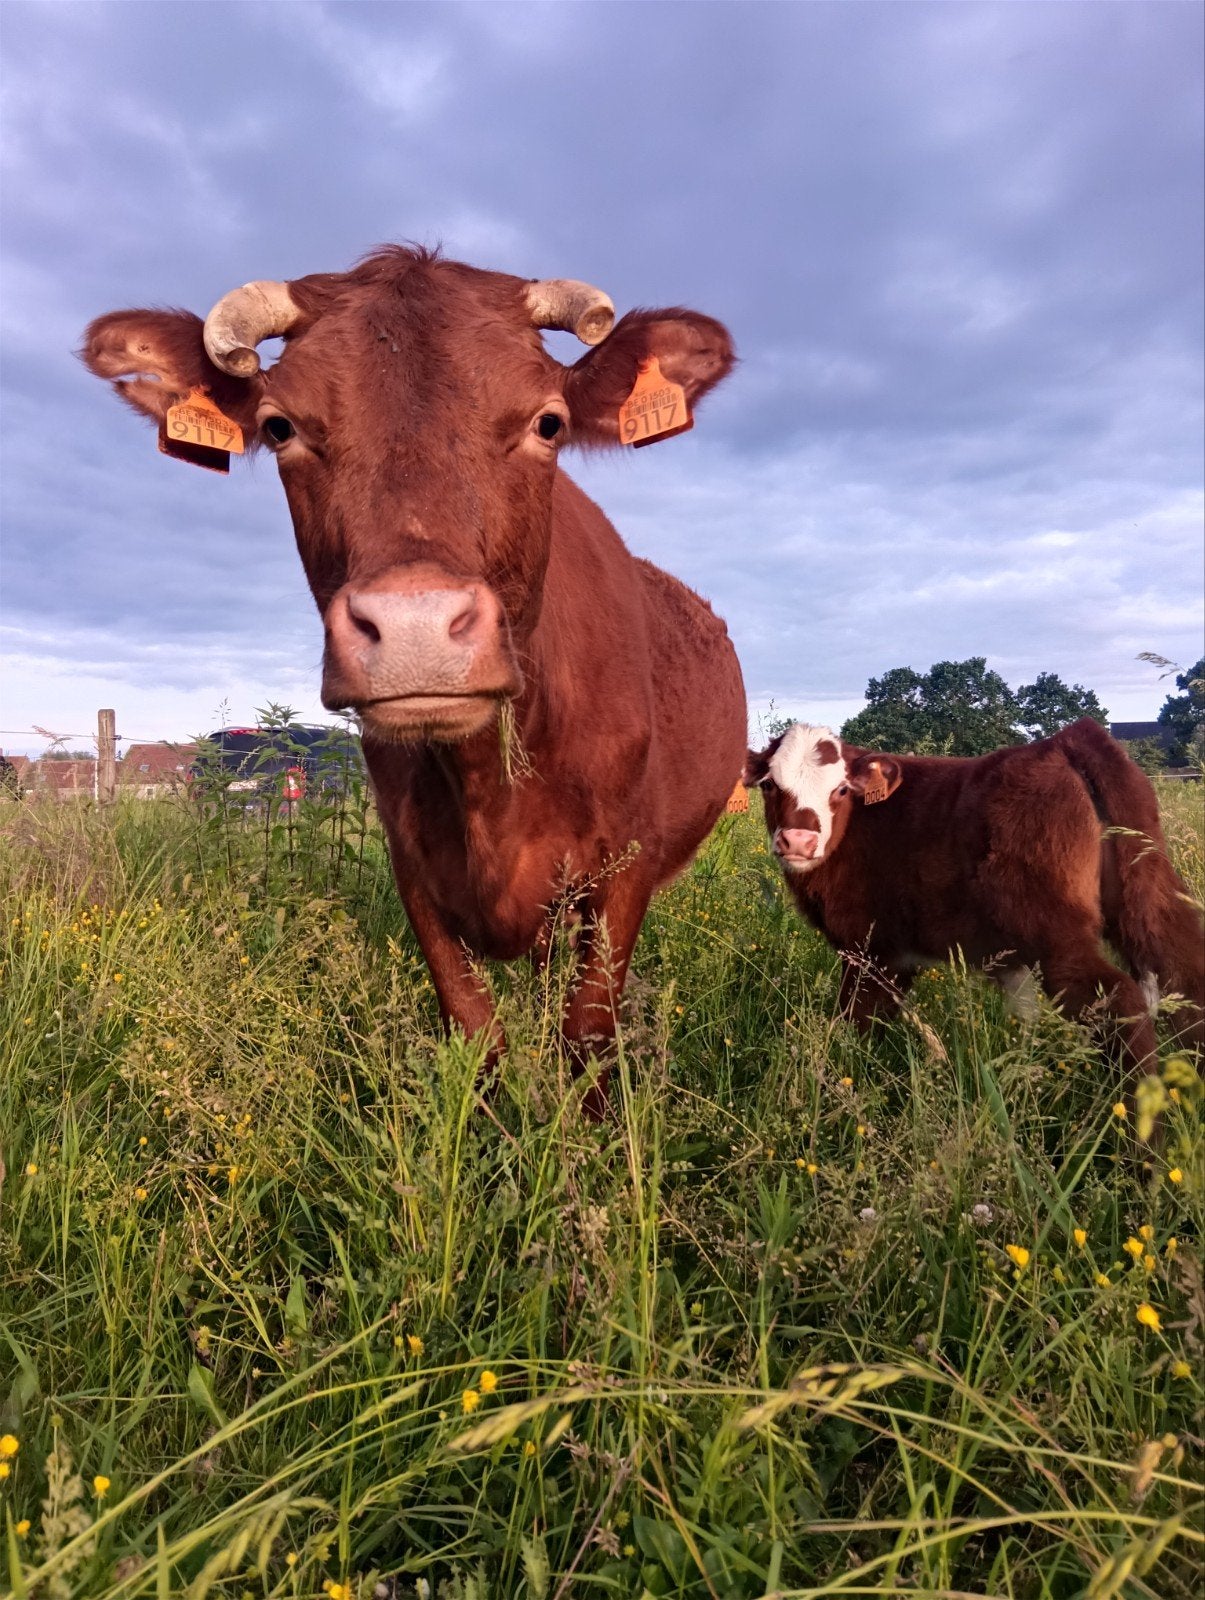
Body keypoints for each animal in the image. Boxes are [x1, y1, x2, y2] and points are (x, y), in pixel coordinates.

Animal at [82, 248, 746, 1114]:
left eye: (548, 422)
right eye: (280, 427)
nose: (415, 630)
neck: (491, 792)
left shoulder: (622, 873)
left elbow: (587, 1037)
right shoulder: (415, 872)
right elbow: (477, 1035)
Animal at [744, 718, 1204, 1076]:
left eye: (841, 790)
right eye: (768, 784)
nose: (798, 840)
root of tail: (1063, 740)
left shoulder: (870, 951)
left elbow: (856, 1022)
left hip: (1057, 935)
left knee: (1120, 1001)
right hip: (1150, 896)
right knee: (1185, 978)